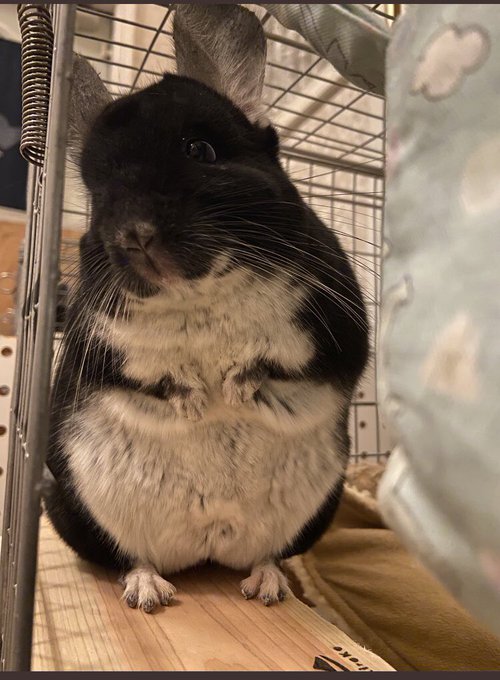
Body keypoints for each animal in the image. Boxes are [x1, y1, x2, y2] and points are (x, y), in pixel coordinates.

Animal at [43, 4, 369, 613]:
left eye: (201, 150)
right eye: (96, 193)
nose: (134, 234)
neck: (199, 296)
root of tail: (209, 549)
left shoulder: (338, 327)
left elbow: (284, 363)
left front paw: (238, 387)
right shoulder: (98, 346)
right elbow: (146, 374)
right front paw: (194, 399)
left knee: (267, 555)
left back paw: (267, 586)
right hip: (74, 509)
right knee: (132, 557)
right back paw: (148, 590)